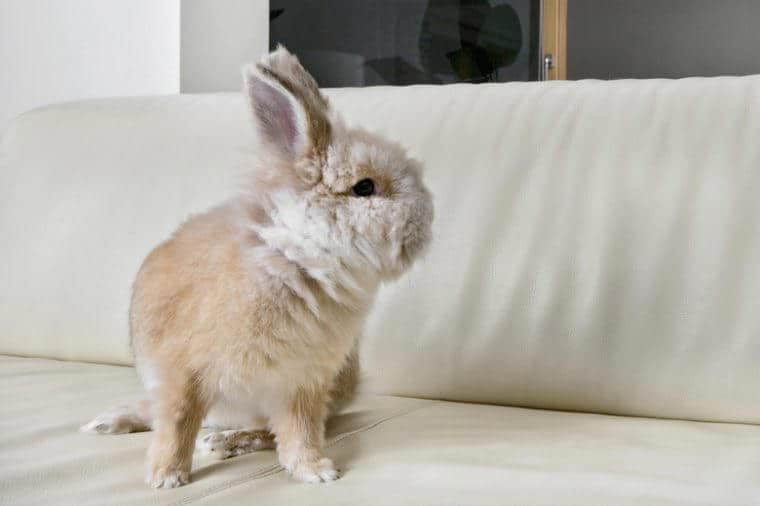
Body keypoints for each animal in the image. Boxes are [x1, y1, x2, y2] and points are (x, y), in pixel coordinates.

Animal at [80, 45, 434, 488]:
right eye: (364, 187)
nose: (426, 223)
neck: (299, 261)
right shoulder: (182, 370)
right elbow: (177, 422)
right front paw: (166, 477)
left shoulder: (303, 383)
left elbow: (299, 432)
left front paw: (316, 471)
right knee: (164, 413)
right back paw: (110, 422)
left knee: (264, 431)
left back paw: (223, 442)